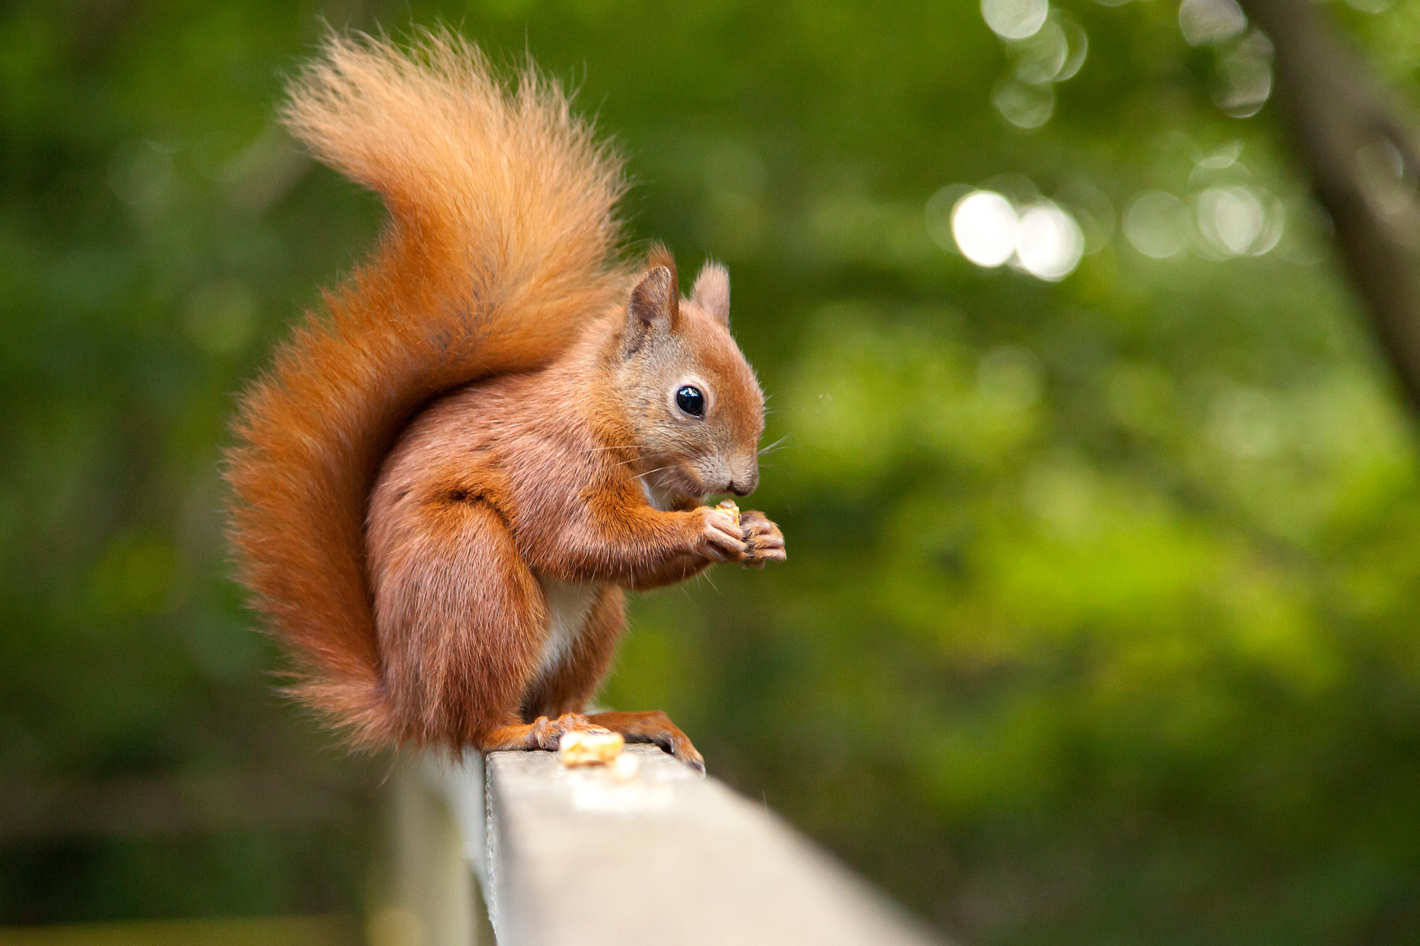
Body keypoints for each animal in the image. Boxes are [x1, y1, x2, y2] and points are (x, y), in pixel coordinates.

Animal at [230, 31, 789, 767]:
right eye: (690, 399)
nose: (743, 485)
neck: (604, 414)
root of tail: (406, 700)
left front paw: (762, 532)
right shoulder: (549, 462)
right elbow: (584, 536)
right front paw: (707, 527)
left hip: (591, 623)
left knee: (560, 690)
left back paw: (622, 721)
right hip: (473, 576)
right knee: (477, 723)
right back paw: (525, 731)